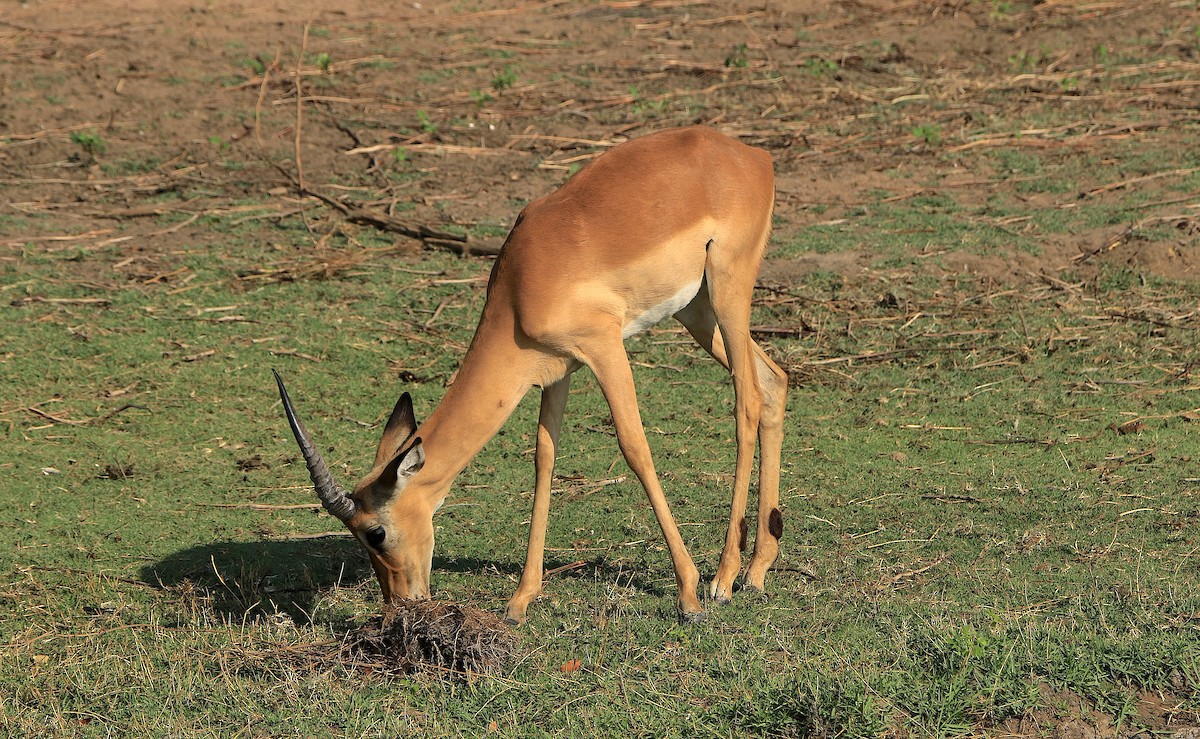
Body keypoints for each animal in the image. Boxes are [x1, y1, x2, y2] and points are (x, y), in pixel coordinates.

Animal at [275, 126, 787, 623]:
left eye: (375, 533)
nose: (399, 602)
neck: (523, 285)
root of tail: (753, 156)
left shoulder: (605, 347)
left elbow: (634, 448)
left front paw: (688, 595)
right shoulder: (557, 368)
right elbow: (545, 458)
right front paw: (521, 601)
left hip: (727, 289)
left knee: (747, 400)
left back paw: (723, 580)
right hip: (696, 310)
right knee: (773, 381)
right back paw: (756, 572)